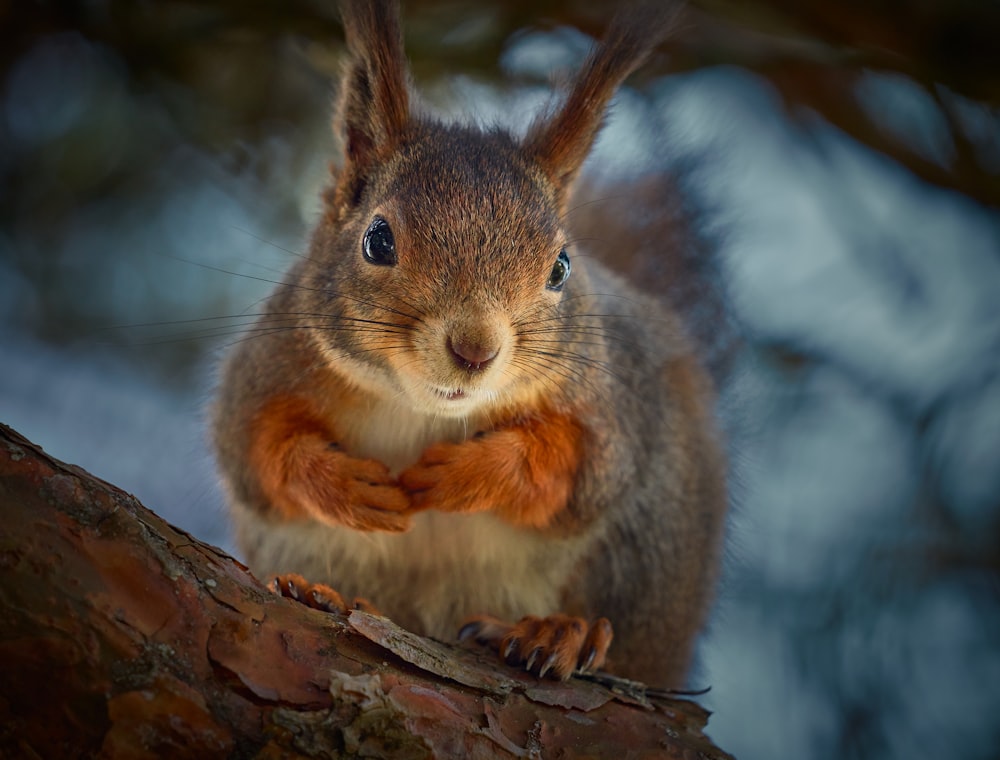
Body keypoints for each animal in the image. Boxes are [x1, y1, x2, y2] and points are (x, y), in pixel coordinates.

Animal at [211, 0, 728, 688]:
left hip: (644, 548)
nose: (476, 351)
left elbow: (573, 470)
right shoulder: (266, 372)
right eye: (377, 240)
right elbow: (259, 455)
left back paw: (562, 631)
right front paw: (344, 484)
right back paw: (328, 595)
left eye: (561, 267)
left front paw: (468, 473)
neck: (420, 410)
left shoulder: (613, 406)